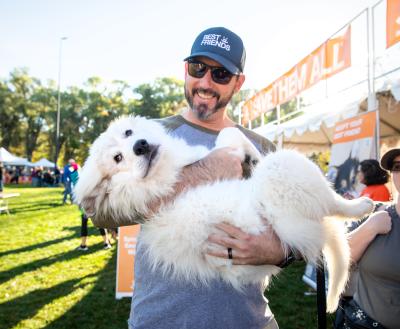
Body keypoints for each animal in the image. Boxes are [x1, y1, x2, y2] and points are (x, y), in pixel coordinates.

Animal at [73, 114, 374, 310]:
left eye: (128, 133)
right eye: (117, 159)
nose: (140, 146)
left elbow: (229, 133)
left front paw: (251, 155)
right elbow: (228, 134)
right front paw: (253, 155)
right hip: (288, 169)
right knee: (334, 204)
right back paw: (362, 205)